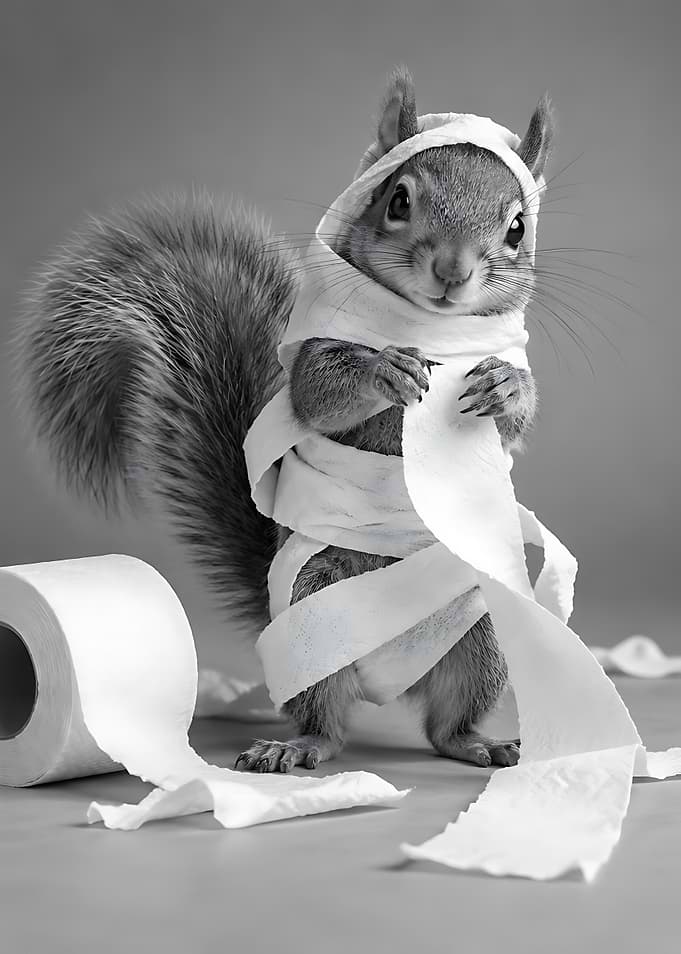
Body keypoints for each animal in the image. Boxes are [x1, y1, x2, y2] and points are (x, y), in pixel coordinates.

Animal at [17, 68, 554, 774]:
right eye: (399, 200)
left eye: (517, 229)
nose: (453, 271)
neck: (429, 327)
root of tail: (390, 683)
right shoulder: (316, 359)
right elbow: (319, 393)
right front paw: (385, 369)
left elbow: (515, 419)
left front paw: (503, 385)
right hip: (311, 616)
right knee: (326, 718)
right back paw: (296, 745)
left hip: (484, 630)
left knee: (447, 725)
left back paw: (482, 743)